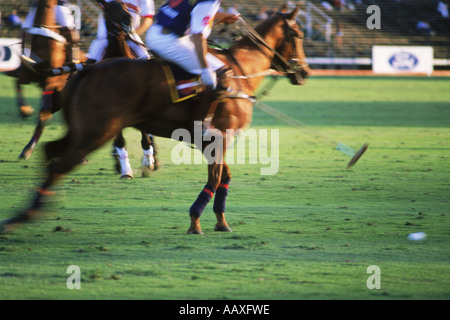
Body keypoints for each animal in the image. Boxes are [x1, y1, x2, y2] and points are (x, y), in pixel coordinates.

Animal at [0, 6, 310, 235]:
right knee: (58, 165)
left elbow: (224, 177)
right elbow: (216, 178)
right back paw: (26, 214)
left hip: (82, 131)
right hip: (95, 132)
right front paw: (195, 222)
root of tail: (88, 69)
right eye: (297, 34)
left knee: (50, 151)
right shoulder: (218, 139)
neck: (239, 71)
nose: (304, 72)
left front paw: (221, 222)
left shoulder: (216, 143)